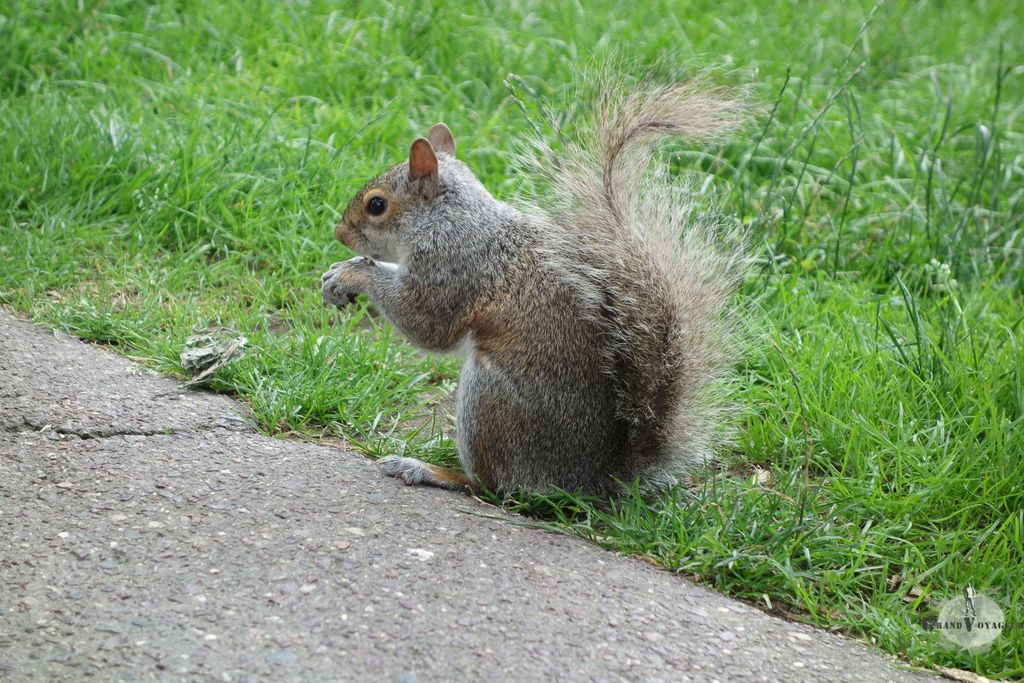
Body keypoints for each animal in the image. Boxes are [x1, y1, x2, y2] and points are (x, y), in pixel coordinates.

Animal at [321, 78, 747, 497]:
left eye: (377, 205)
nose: (339, 234)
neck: (451, 219)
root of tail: (590, 482)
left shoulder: (453, 268)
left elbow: (426, 324)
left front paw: (353, 275)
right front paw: (340, 272)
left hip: (489, 398)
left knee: (492, 486)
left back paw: (431, 470)